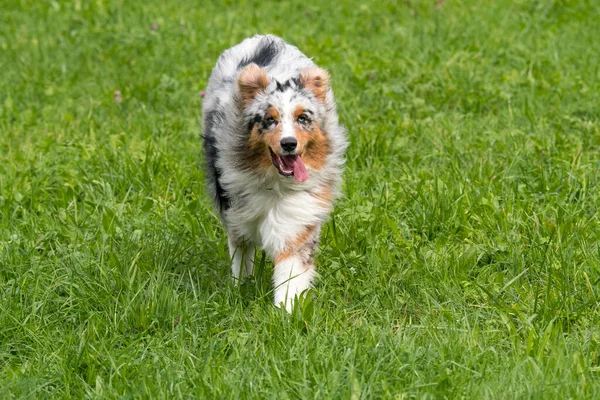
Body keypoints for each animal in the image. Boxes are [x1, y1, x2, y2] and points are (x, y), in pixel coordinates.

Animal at [202, 34, 346, 312]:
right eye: (269, 120)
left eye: (303, 118)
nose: (289, 143)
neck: (276, 183)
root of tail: (264, 39)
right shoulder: (235, 211)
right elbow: (241, 251)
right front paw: (241, 288)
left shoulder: (299, 215)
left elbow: (291, 270)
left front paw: (287, 311)